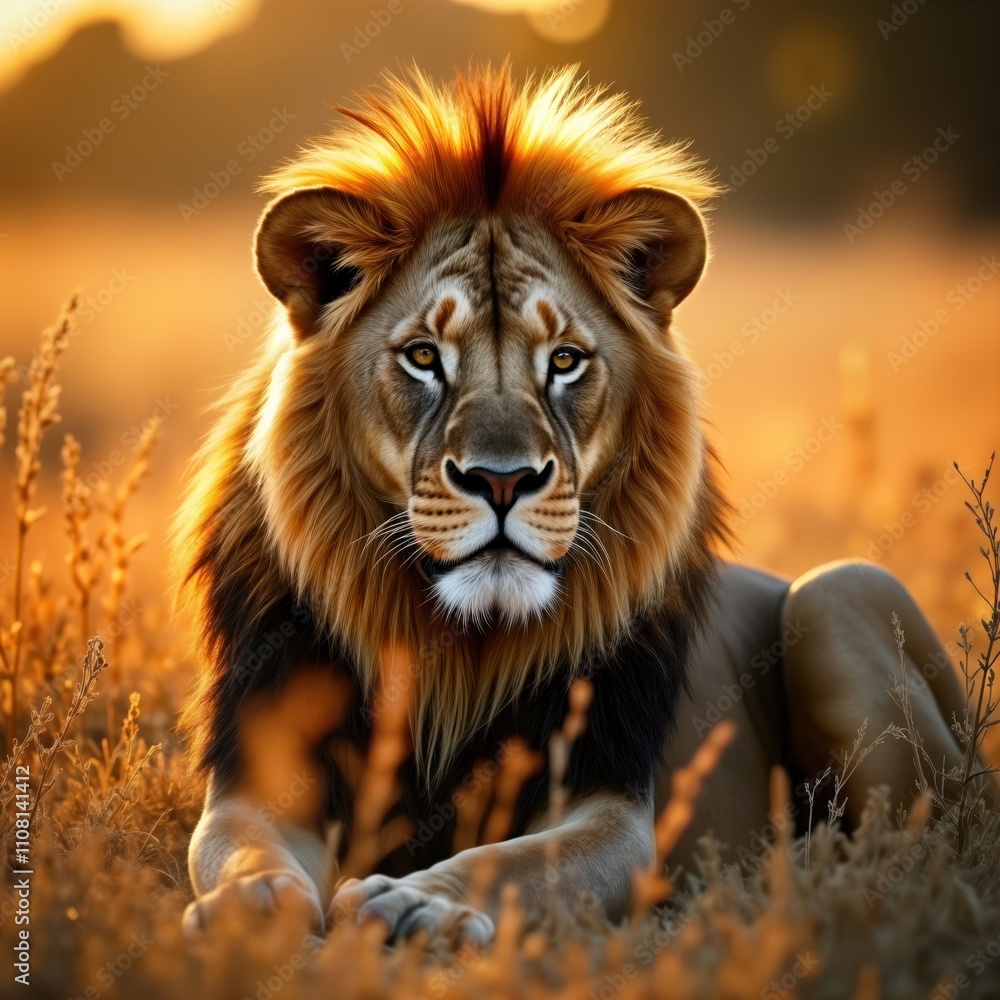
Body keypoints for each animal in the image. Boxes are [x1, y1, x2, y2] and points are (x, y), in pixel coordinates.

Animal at [178, 64, 977, 945]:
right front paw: (250, 909)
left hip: (838, 593)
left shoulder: (613, 802)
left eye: (564, 361)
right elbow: (240, 849)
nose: (501, 481)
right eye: (423, 357)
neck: (459, 649)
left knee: (922, 845)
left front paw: (422, 904)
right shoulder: (257, 779)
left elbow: (513, 862)